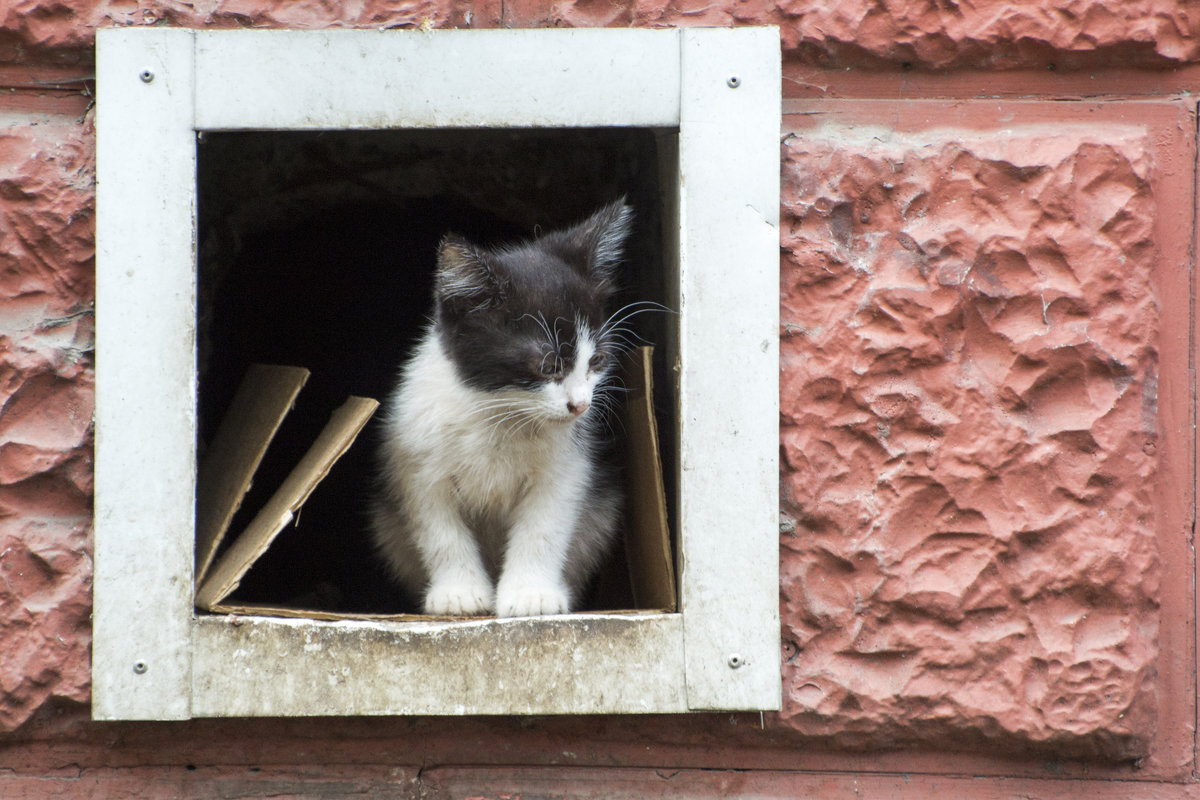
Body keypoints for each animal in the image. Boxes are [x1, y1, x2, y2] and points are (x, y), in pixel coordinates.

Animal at [367, 200, 633, 618]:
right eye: (549, 366)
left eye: (597, 361)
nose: (581, 406)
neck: (499, 413)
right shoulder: (414, 462)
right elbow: (439, 530)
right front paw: (458, 593)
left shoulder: (567, 469)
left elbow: (543, 527)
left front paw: (531, 594)